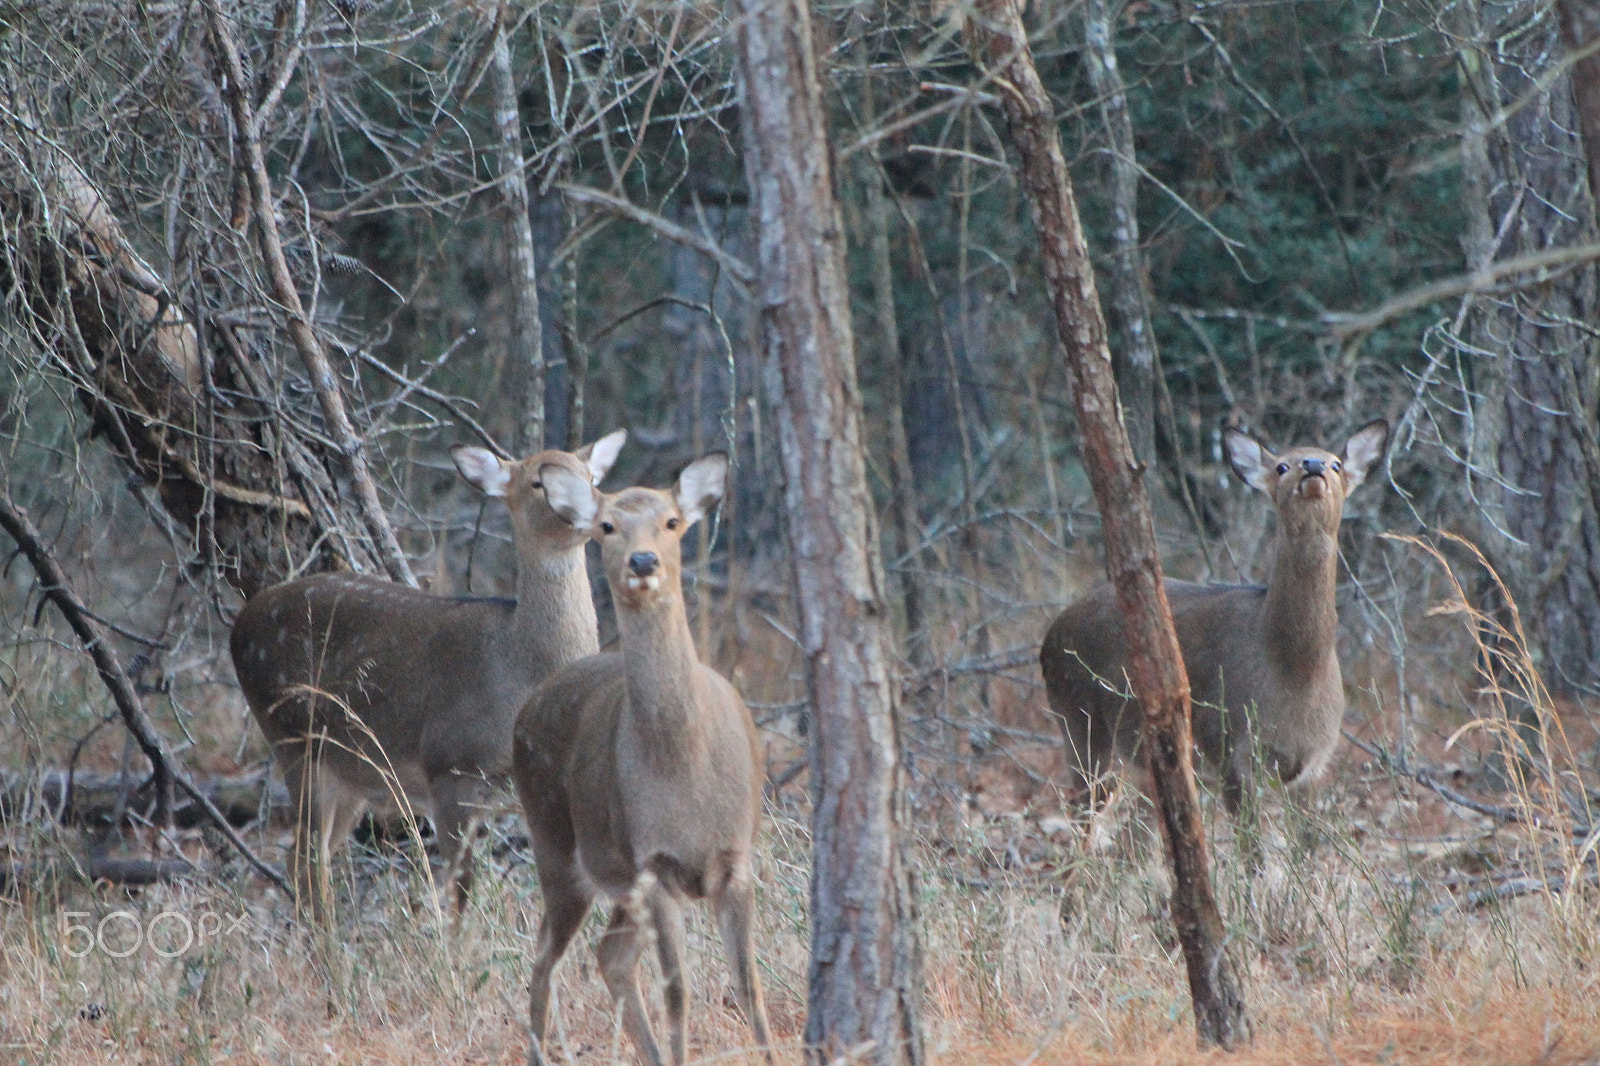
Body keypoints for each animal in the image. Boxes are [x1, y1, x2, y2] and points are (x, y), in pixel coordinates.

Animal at [230, 430, 627, 922]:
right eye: (539, 482)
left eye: (592, 477)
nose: (596, 514)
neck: (520, 670)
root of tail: (239, 626)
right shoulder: (452, 768)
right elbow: (460, 892)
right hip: (295, 740)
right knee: (307, 858)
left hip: (350, 771)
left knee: (302, 858)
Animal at [513, 452, 773, 1066]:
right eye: (606, 526)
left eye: (673, 522)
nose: (643, 559)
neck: (684, 767)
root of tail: (528, 705)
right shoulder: (654, 867)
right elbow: (678, 993)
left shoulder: (736, 858)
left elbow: (749, 987)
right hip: (557, 846)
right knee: (546, 957)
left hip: (615, 883)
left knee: (607, 955)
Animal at [1040, 419, 1389, 822]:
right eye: (1281, 466)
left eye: (1336, 464)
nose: (1313, 465)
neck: (1294, 674)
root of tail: (1049, 637)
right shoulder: (1229, 749)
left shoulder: (1313, 764)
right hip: (1078, 721)